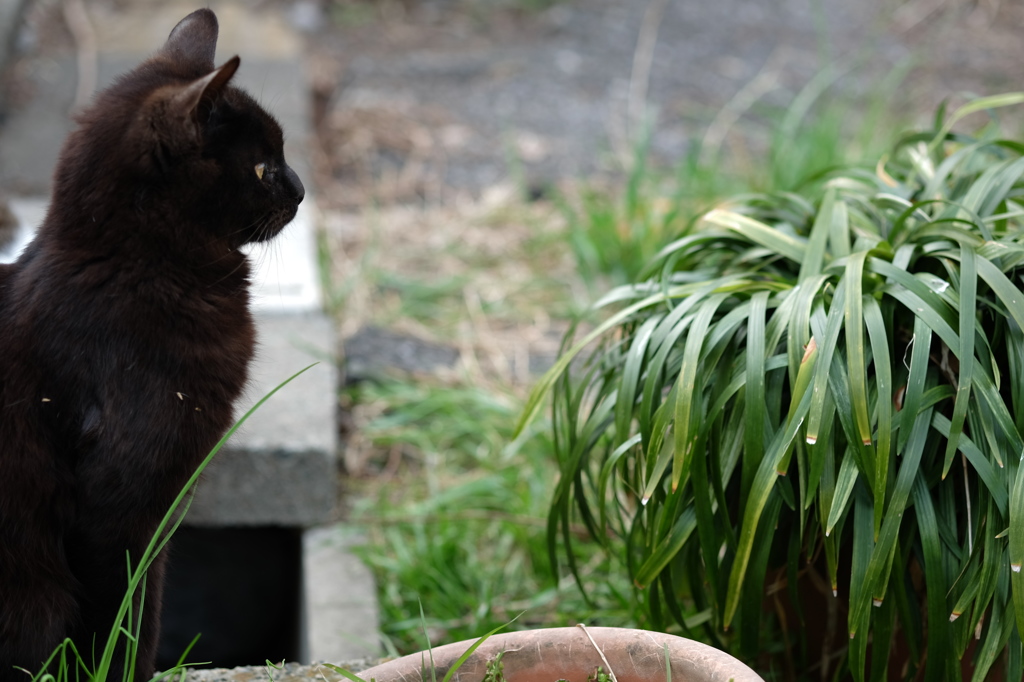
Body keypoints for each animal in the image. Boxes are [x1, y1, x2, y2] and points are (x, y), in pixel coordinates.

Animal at [0, 10, 303, 679]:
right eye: (262, 167)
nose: (300, 190)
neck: (128, 271)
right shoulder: (121, 506)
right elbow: (127, 618)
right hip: (33, 590)